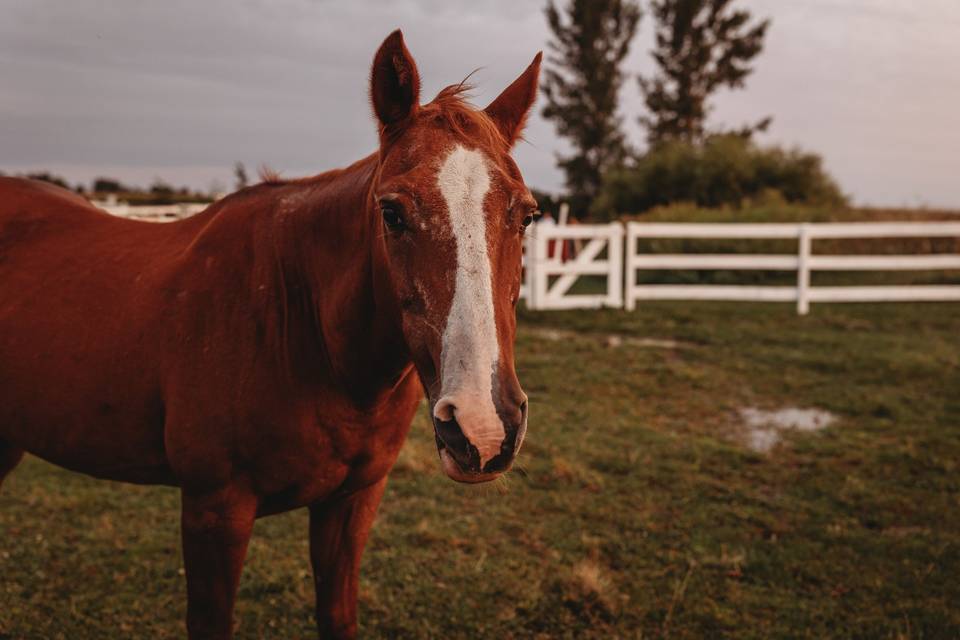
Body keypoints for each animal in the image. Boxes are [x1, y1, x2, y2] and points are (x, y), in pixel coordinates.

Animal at [0, 32, 540, 636]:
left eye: (527, 216)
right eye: (392, 213)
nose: (482, 426)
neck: (299, 329)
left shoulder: (351, 502)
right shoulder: (215, 512)